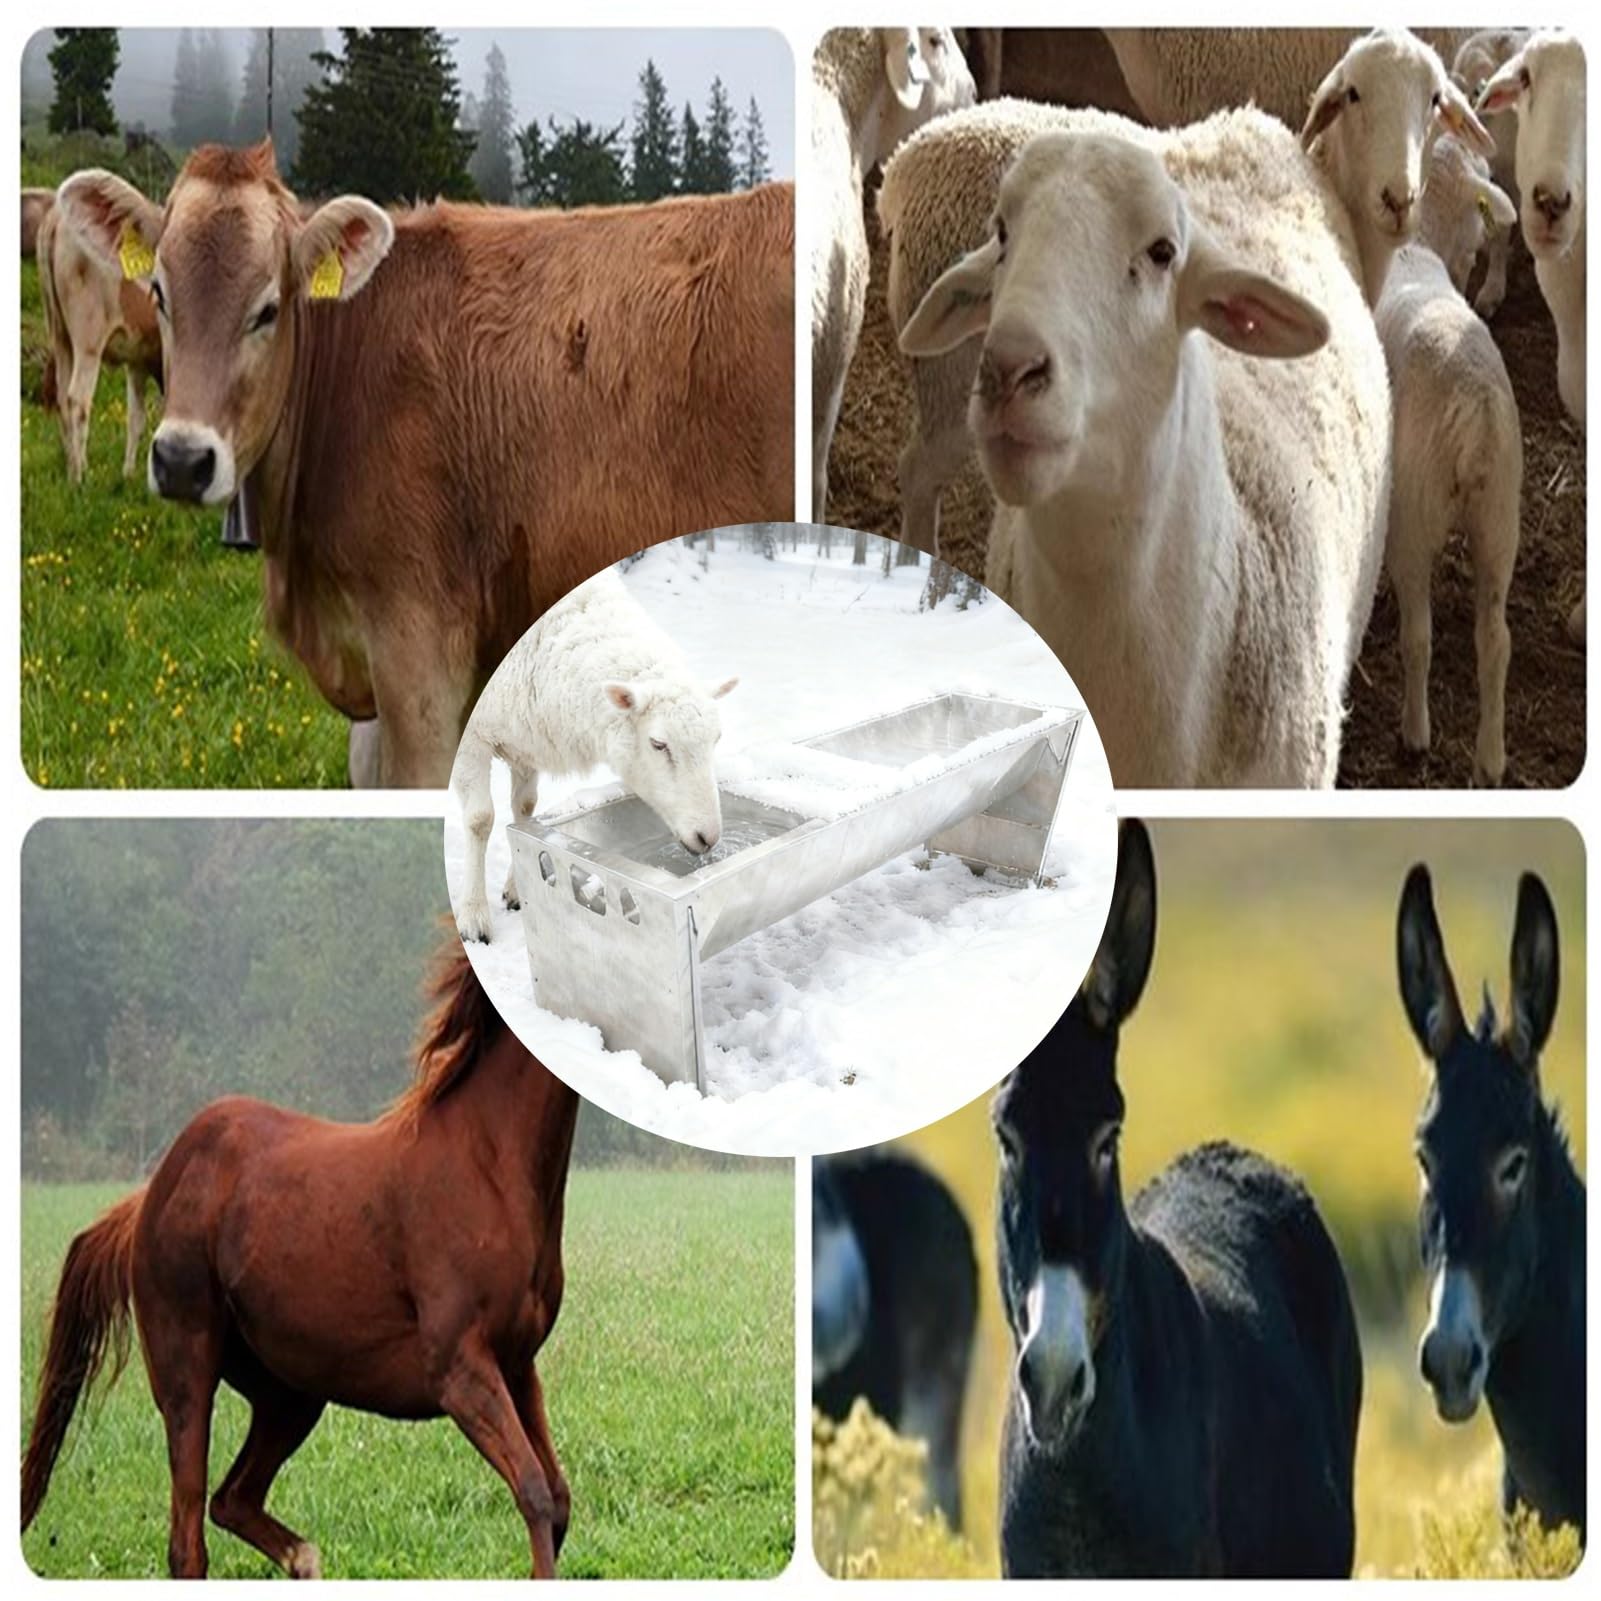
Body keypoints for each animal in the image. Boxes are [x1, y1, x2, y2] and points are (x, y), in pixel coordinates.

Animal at [21, 948, 579, 1579]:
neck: (488, 1166)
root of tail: (149, 1197)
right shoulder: (461, 1371)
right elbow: (535, 1492)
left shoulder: (516, 1366)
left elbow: (558, 1499)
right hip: (186, 1374)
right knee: (189, 1540)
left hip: (291, 1394)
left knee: (231, 1499)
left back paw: (305, 1559)